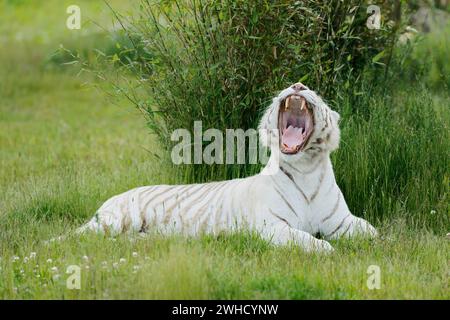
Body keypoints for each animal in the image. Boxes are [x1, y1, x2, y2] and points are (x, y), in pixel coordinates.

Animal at [76, 82, 376, 252]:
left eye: (316, 93)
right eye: (297, 86)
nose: (298, 85)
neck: (306, 169)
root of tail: (111, 198)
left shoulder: (342, 221)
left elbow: (374, 233)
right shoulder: (272, 226)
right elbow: (308, 241)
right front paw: (327, 249)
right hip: (115, 221)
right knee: (77, 237)